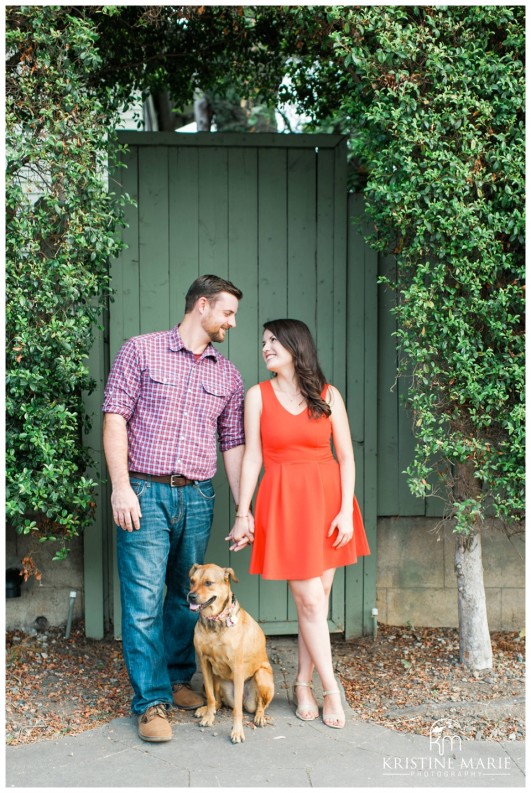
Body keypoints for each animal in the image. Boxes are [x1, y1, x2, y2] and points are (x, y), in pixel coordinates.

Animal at [188, 560, 274, 740]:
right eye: (192, 581)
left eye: (208, 583)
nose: (190, 596)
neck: (214, 621)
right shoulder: (204, 662)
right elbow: (211, 697)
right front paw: (209, 717)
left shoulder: (237, 667)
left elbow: (237, 712)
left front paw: (237, 731)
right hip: (216, 678)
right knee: (218, 701)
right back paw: (205, 710)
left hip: (262, 675)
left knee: (259, 705)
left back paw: (259, 716)